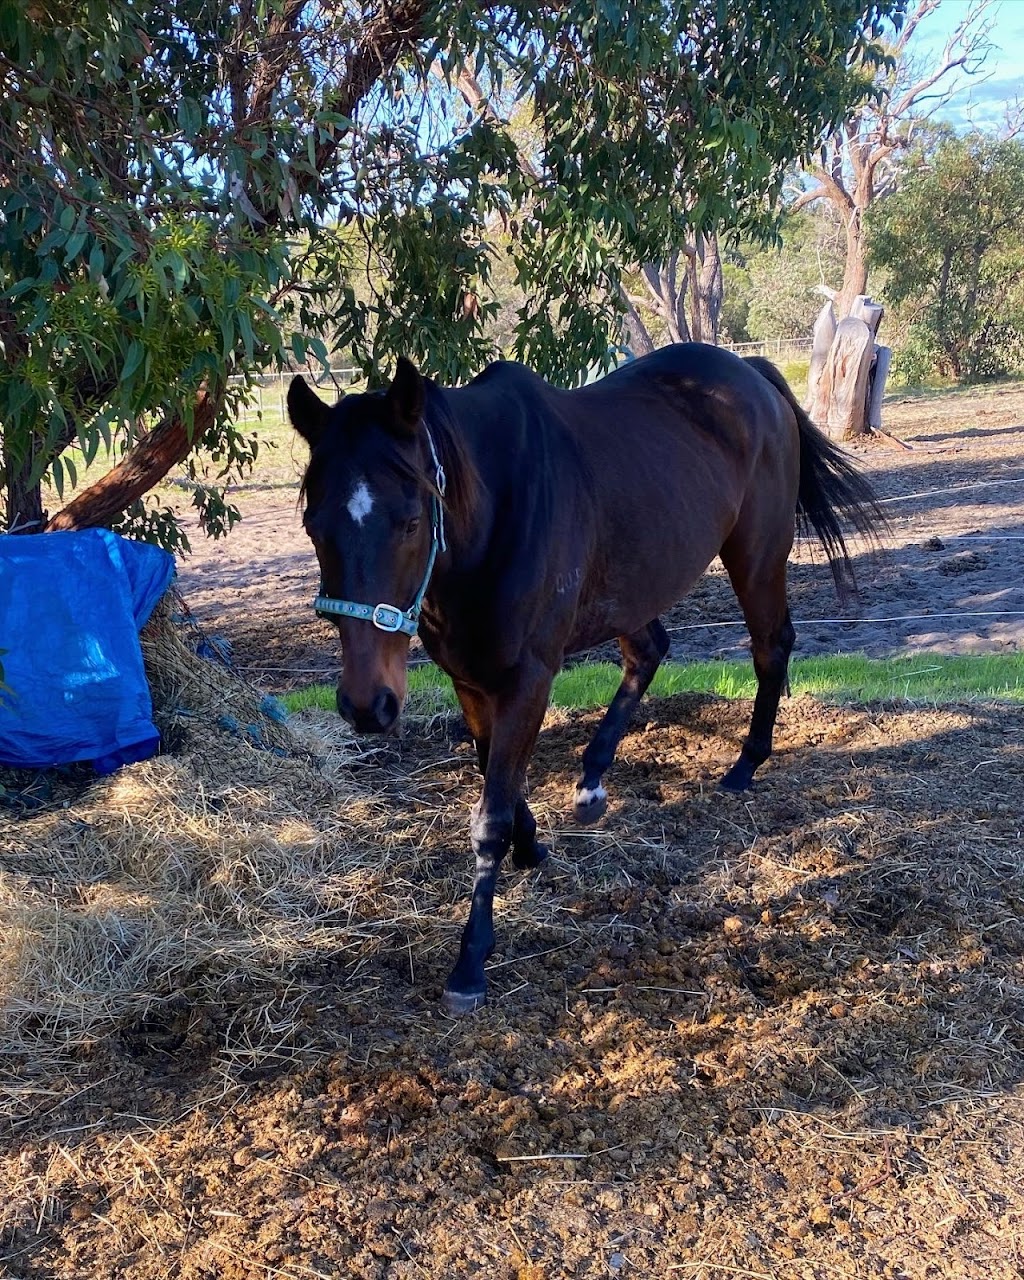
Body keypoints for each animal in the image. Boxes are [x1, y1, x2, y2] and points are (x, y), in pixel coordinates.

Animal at [288, 345, 880, 1013]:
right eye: (313, 525)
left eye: (411, 521)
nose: (367, 705)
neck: (494, 510)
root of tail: (751, 374)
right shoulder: (470, 677)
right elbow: (496, 773)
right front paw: (532, 844)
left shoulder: (530, 675)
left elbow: (489, 815)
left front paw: (471, 961)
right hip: (635, 584)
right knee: (649, 652)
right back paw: (593, 779)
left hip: (756, 558)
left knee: (769, 649)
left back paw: (744, 765)